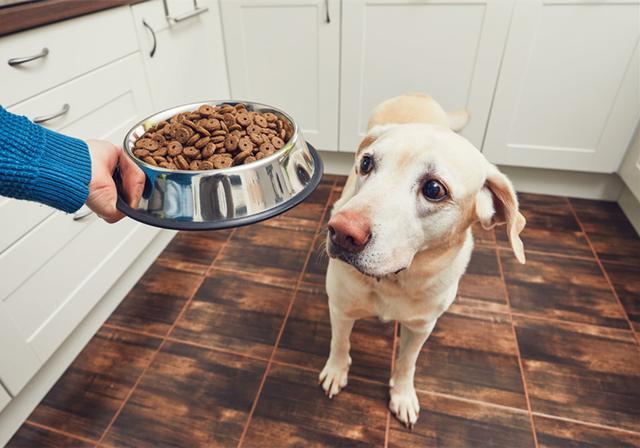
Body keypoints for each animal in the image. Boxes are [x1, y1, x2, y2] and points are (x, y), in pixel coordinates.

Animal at [320, 93, 524, 428]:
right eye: (366, 163)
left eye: (434, 189)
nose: (341, 232)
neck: (394, 280)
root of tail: (417, 93)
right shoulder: (340, 308)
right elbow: (340, 343)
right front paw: (336, 371)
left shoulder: (421, 327)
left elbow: (407, 363)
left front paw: (402, 396)